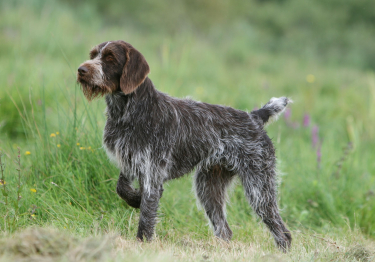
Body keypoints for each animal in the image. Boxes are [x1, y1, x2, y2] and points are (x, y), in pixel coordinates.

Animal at [77, 40, 294, 251]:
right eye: (93, 55)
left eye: (110, 58)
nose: (81, 70)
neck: (128, 112)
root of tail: (254, 116)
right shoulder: (131, 163)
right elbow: (121, 188)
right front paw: (135, 199)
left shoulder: (151, 173)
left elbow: (146, 216)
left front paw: (142, 245)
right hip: (208, 187)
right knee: (224, 230)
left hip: (258, 187)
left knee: (282, 232)